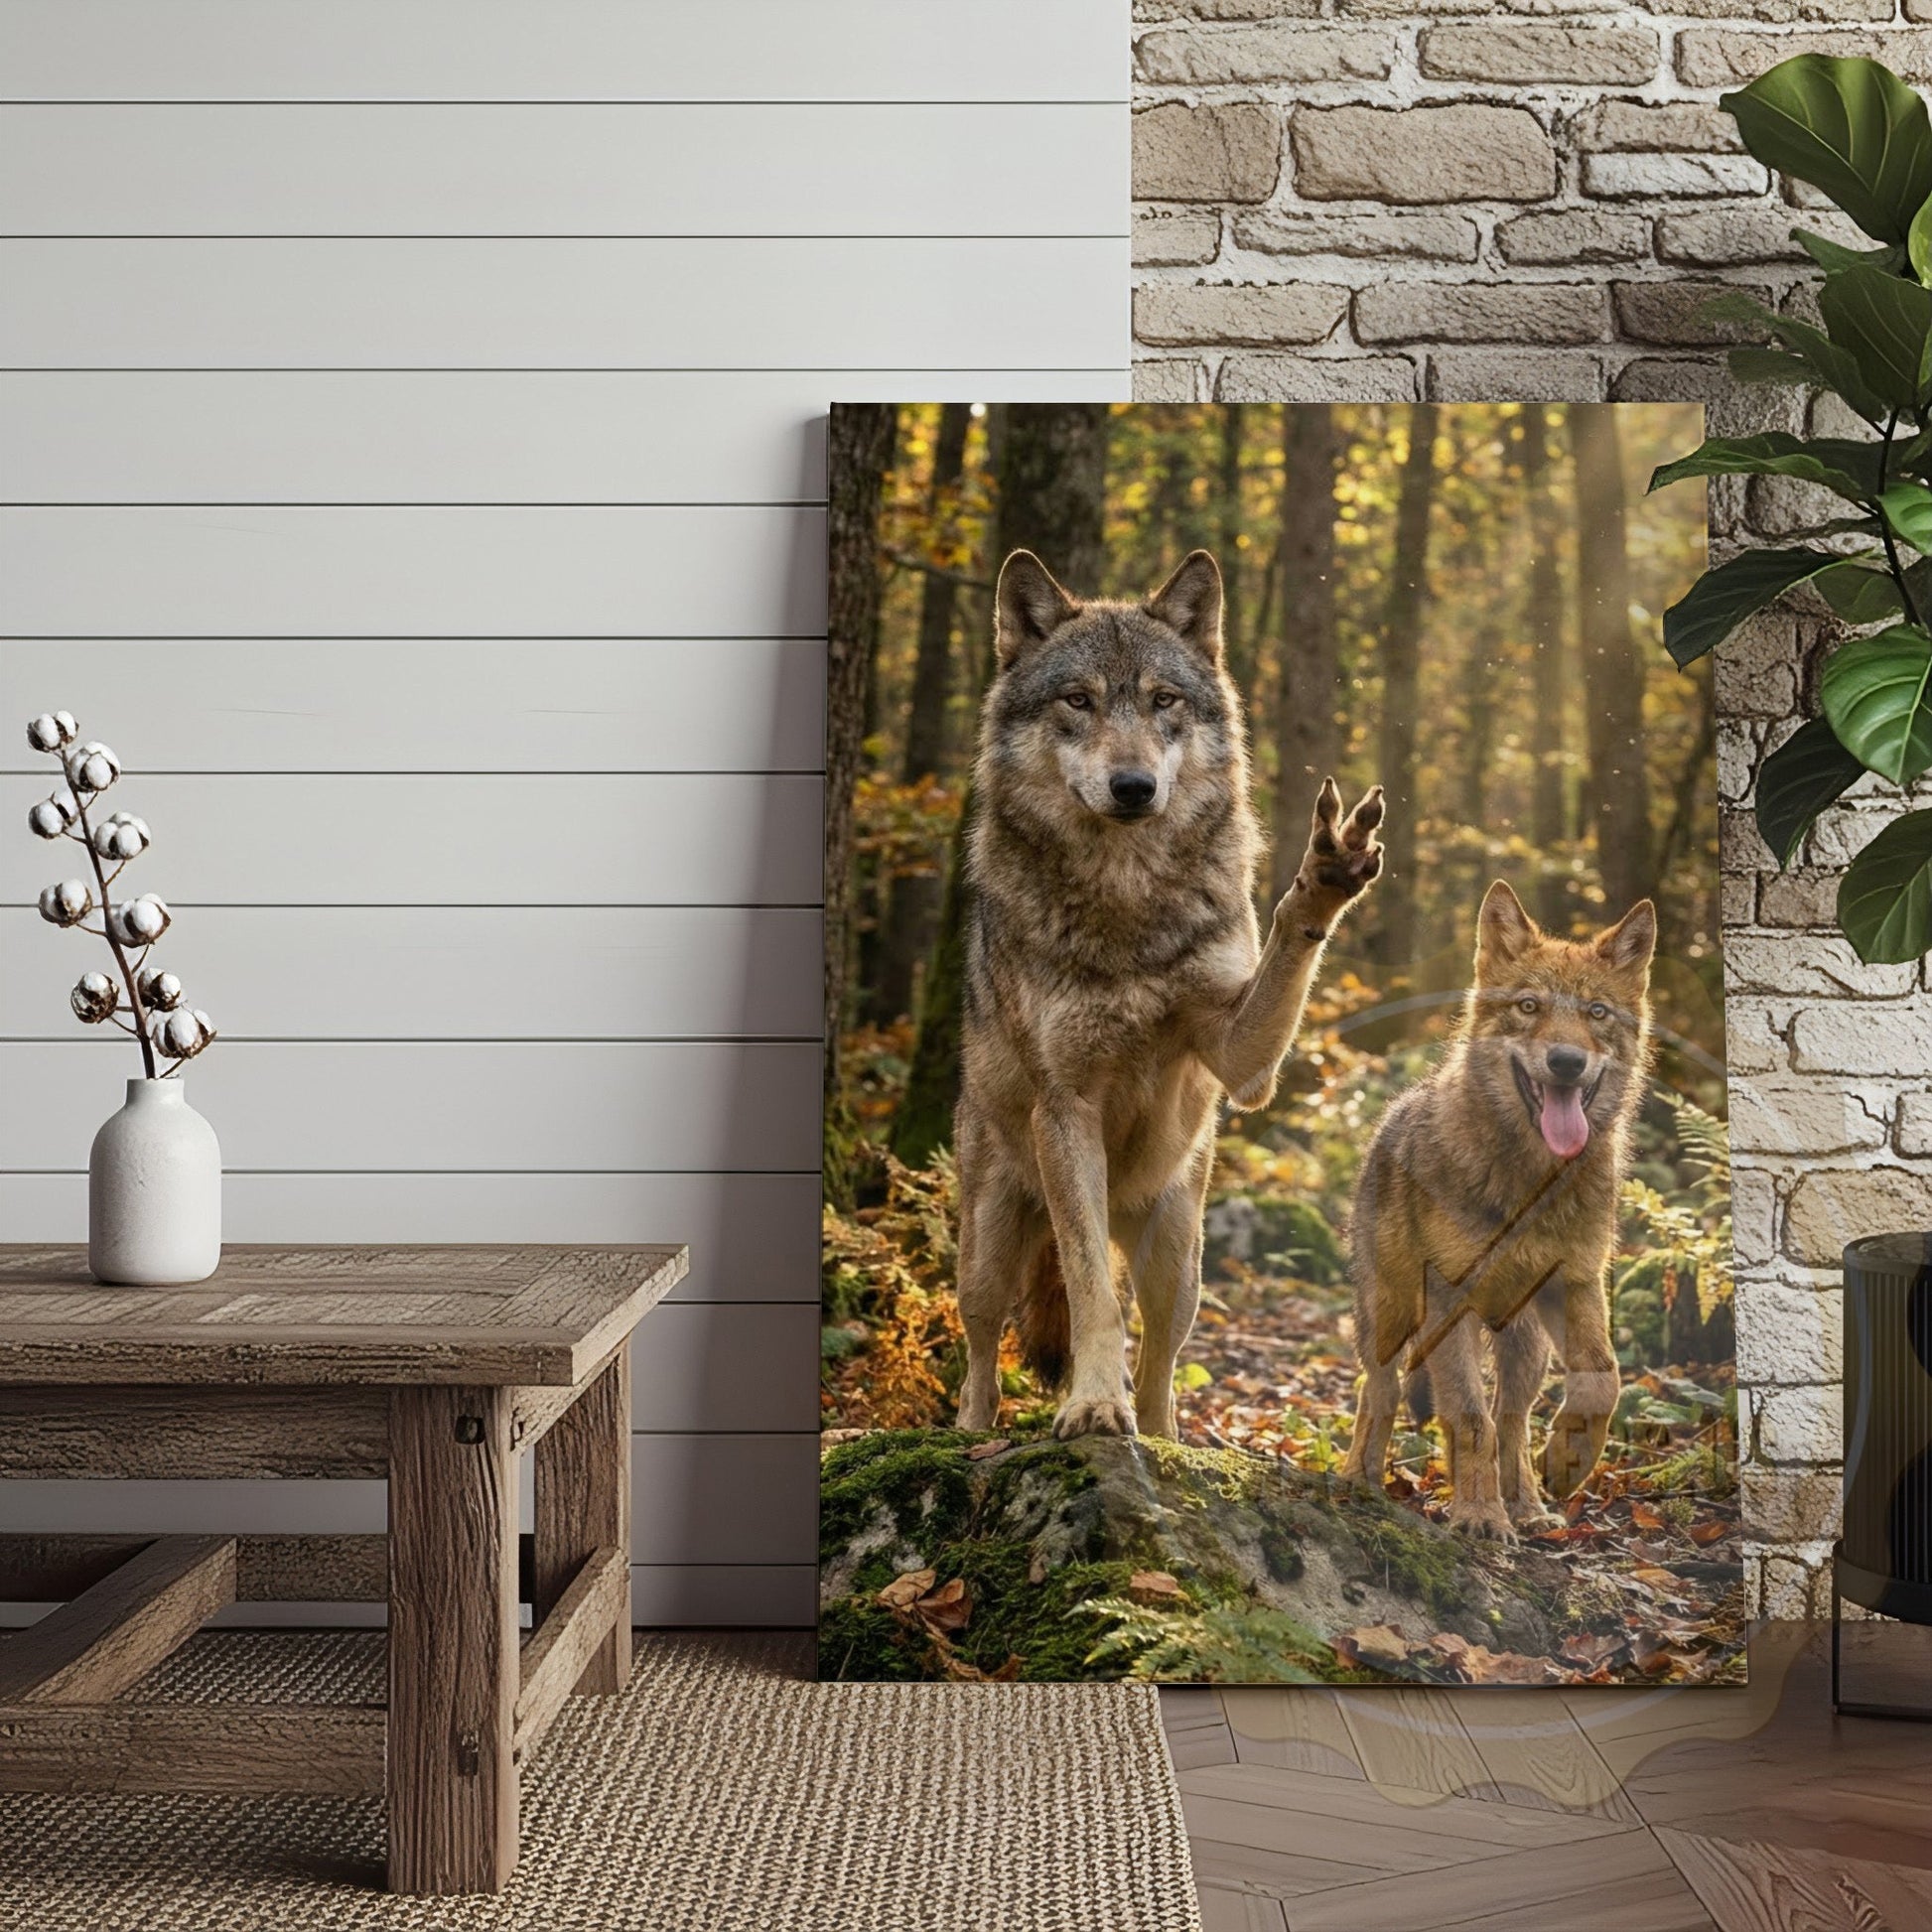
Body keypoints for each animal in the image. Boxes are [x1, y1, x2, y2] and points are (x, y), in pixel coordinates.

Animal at [951, 547, 1385, 1442]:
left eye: (1163, 701)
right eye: (1079, 700)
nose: (1133, 786)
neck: (1128, 900)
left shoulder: (1240, 1064)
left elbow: (1285, 949)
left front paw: (1324, 877)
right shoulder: (1067, 1109)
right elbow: (1090, 1294)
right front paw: (1091, 1405)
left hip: (1179, 1255)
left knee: (1161, 1355)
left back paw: (1164, 1437)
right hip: (988, 1248)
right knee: (981, 1353)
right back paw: (968, 1435)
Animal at [1339, 879, 1657, 1539]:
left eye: (1597, 1013)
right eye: (1529, 1007)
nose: (1566, 1061)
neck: (1530, 1183)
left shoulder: (1577, 1282)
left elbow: (1603, 1380)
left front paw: (1567, 1464)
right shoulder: (1447, 1302)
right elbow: (1467, 1415)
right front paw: (1480, 1516)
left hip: (1526, 1348)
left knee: (1511, 1418)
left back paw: (1530, 1506)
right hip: (1390, 1315)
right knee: (1379, 1392)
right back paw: (1359, 1480)